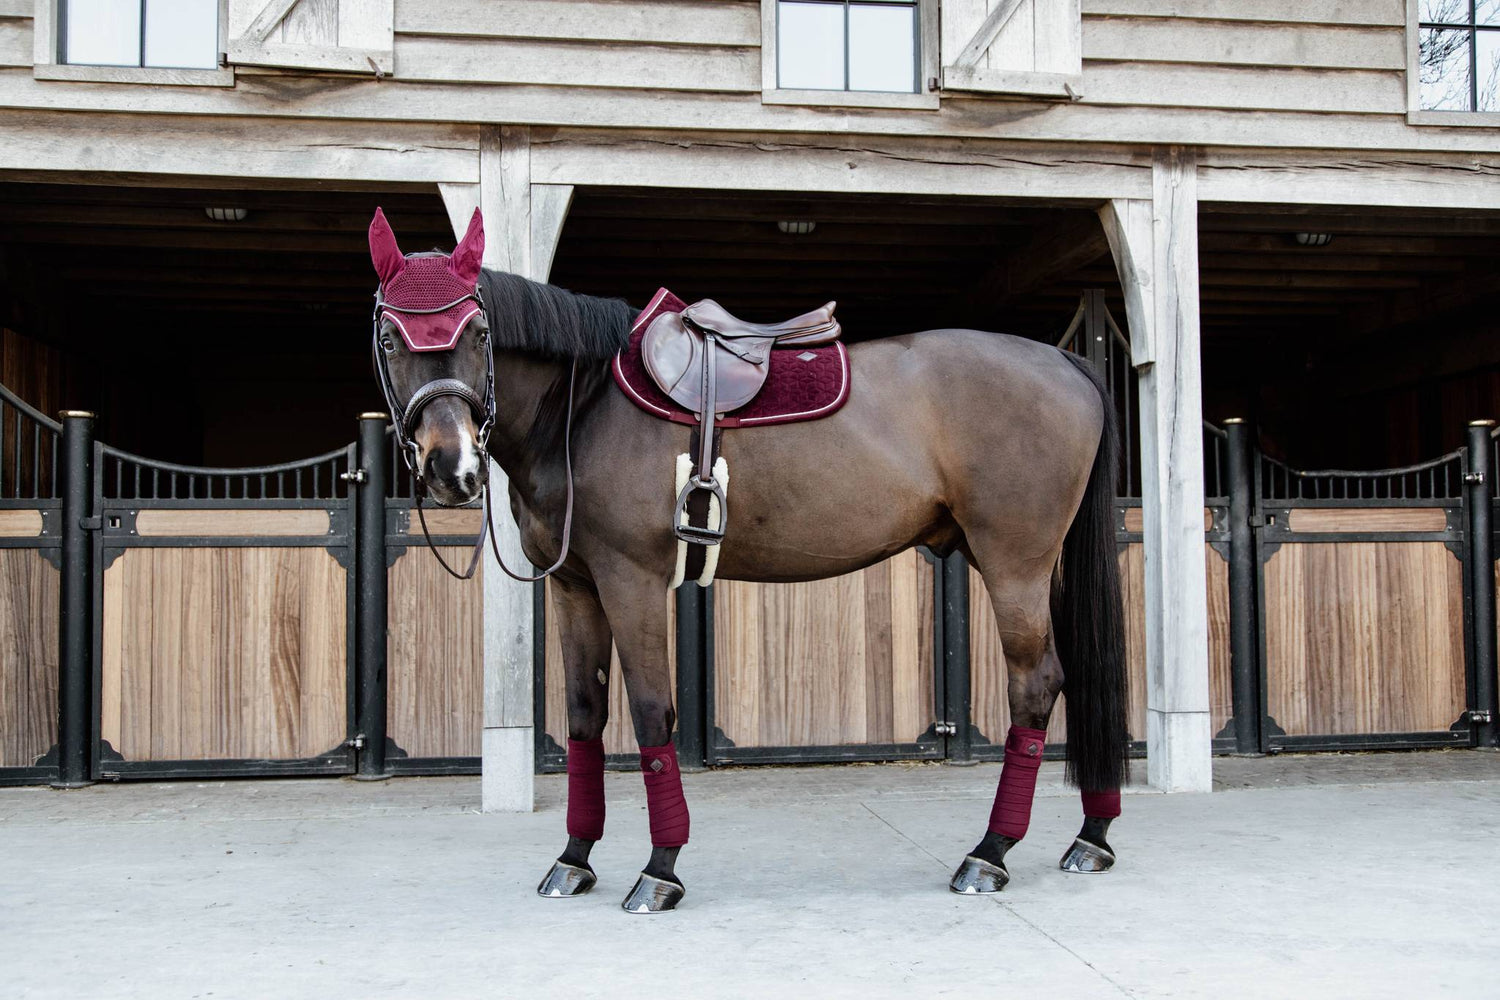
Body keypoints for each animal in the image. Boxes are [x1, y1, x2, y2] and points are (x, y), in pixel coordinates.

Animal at [366, 207, 1128, 913]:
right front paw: (574, 858)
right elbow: (585, 715)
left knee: (1036, 685)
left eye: (478, 332)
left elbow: (651, 712)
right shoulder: (577, 586)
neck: (583, 408)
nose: (451, 469)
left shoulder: (632, 580)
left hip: (1014, 564)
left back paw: (989, 854)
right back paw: (1090, 837)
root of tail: (1067, 362)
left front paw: (660, 871)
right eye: (389, 337)